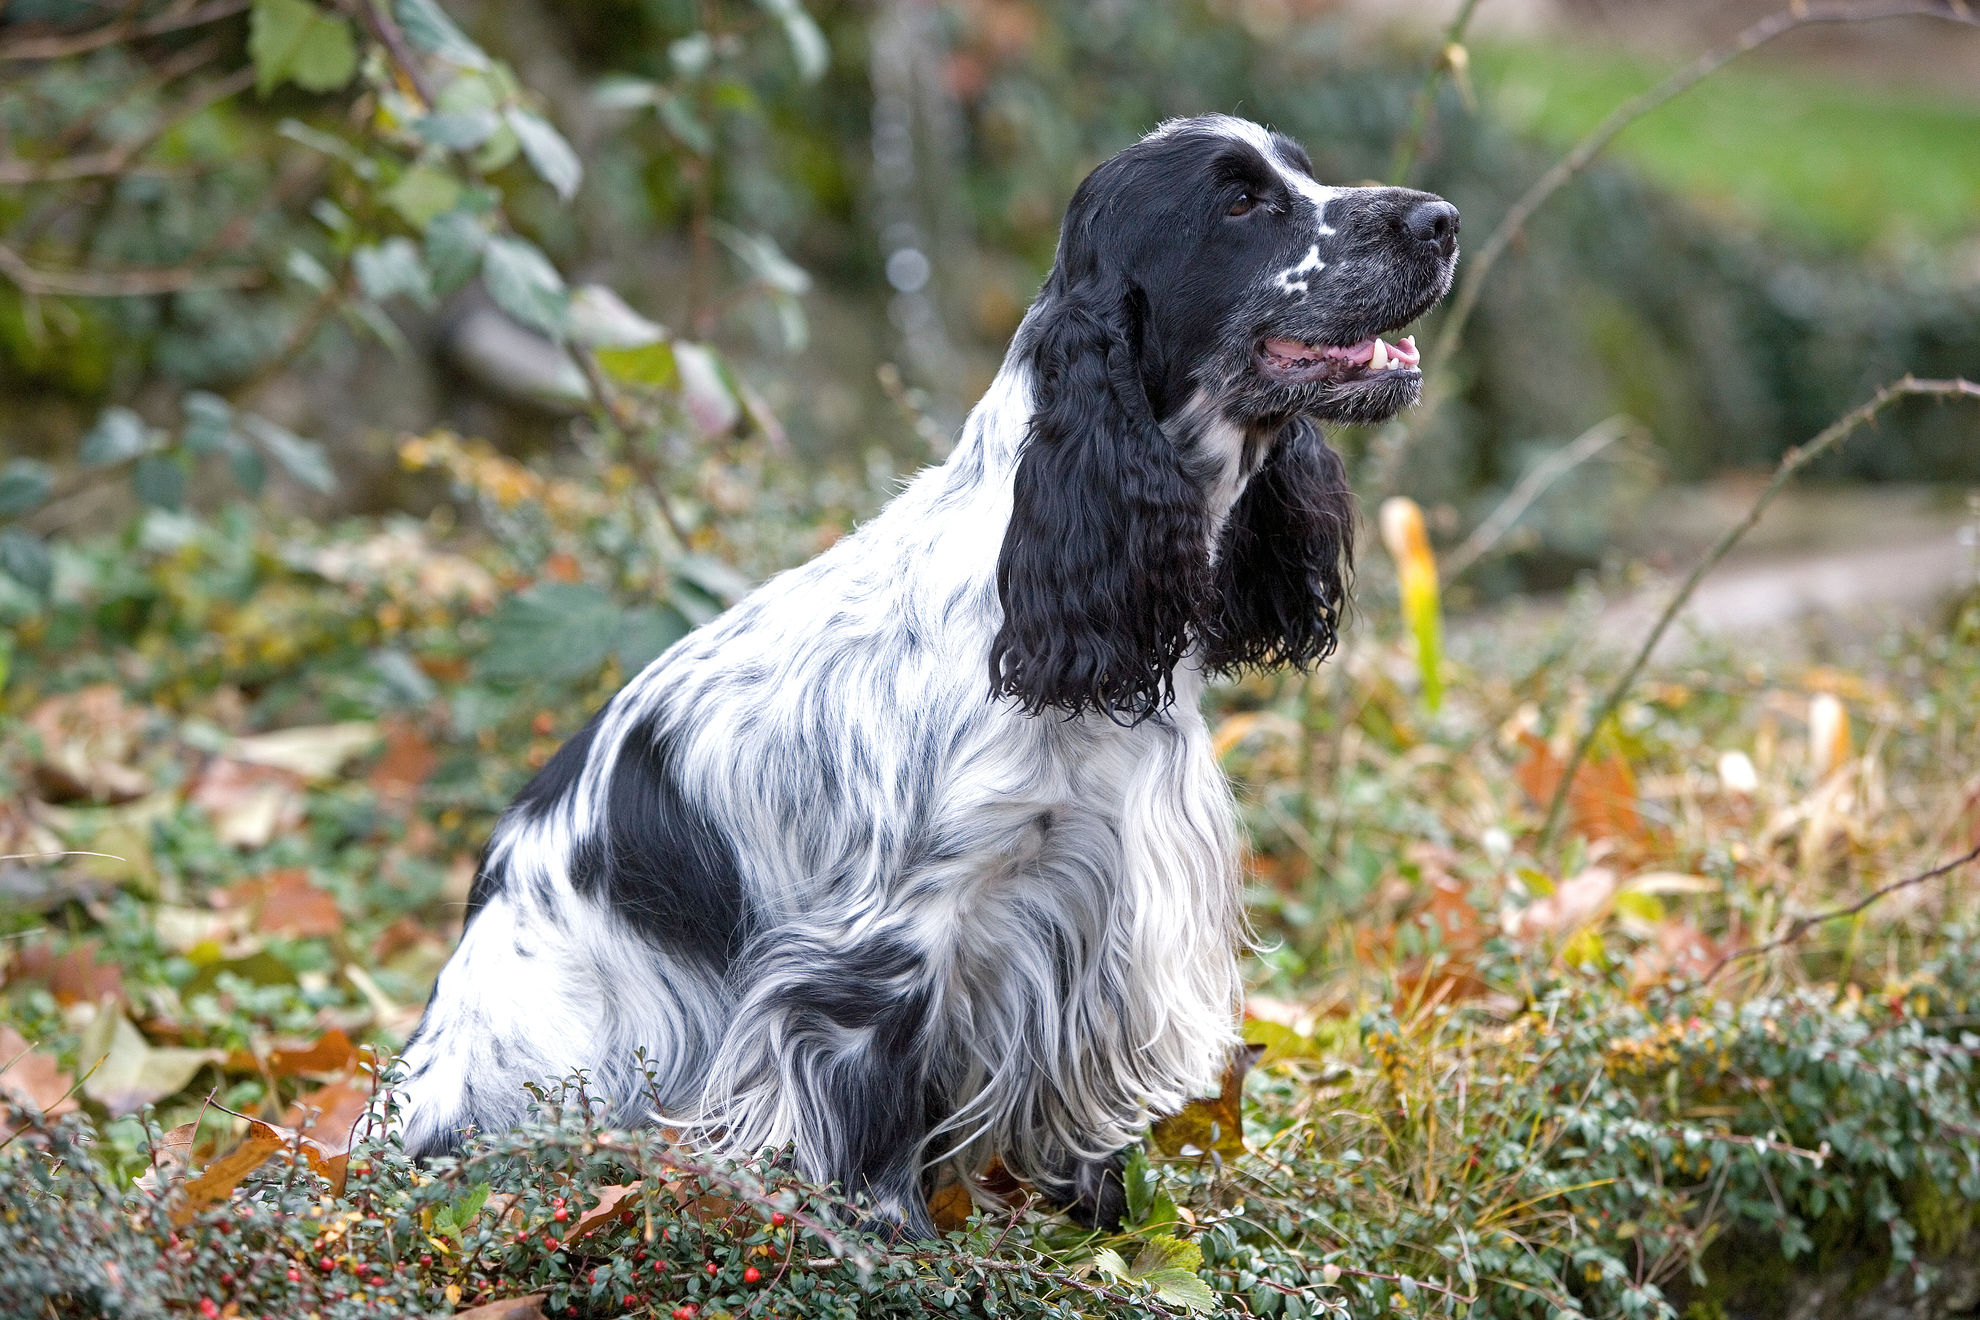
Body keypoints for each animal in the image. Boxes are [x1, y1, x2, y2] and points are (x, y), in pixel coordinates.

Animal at [397, 113, 1457, 1242]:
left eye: (1302, 171)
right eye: (1241, 201)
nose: (1441, 221)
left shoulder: (1099, 907)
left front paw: (1108, 1217)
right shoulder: (883, 942)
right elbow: (868, 1102)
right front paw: (891, 1242)